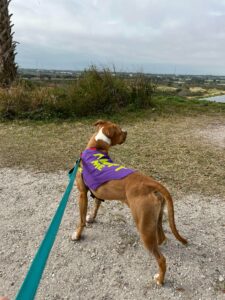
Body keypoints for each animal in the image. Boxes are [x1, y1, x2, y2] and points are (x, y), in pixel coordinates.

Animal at [71, 120, 187, 286]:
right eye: (120, 131)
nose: (127, 132)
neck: (96, 148)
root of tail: (150, 182)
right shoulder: (97, 193)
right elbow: (95, 208)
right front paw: (91, 218)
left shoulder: (82, 194)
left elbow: (81, 220)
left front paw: (77, 234)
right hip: (155, 219)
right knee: (161, 238)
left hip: (143, 226)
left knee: (161, 259)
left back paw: (160, 279)